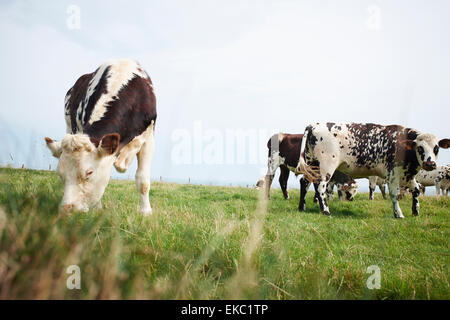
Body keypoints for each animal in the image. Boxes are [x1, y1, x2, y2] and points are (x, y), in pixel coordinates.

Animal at [44, 59, 156, 215]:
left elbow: (143, 180)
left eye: (89, 172)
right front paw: (97, 209)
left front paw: (146, 212)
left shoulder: (149, 137)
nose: (66, 209)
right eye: (60, 173)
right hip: (69, 126)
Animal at [298, 122, 448, 218]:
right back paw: (326, 211)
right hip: (327, 167)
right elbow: (394, 194)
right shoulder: (392, 175)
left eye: (436, 148)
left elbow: (416, 190)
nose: (430, 163)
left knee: (305, 182)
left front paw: (415, 211)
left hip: (312, 164)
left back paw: (302, 207)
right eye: (420, 148)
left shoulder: (407, 176)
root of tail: (315, 125)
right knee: (321, 186)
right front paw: (398, 214)